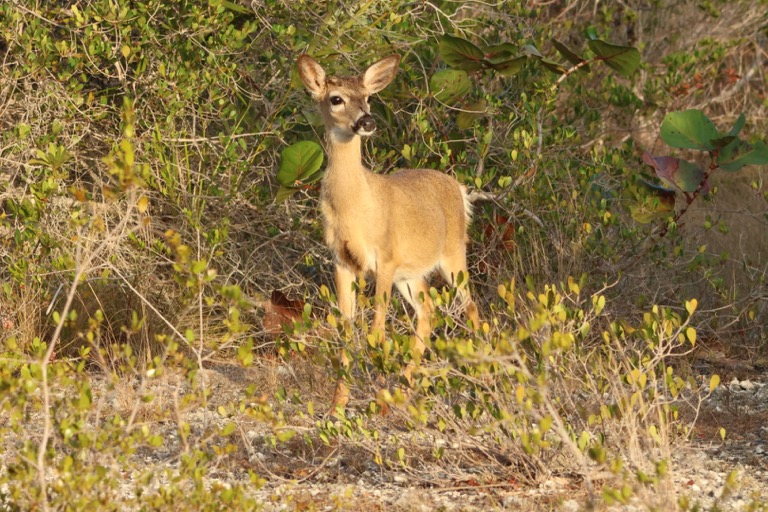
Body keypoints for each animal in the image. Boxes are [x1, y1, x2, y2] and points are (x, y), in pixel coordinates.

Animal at [296, 53, 480, 411]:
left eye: (368, 97)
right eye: (336, 99)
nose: (367, 121)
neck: (355, 207)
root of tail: (459, 188)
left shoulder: (385, 256)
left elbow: (376, 329)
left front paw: (374, 397)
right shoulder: (342, 261)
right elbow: (347, 330)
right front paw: (338, 405)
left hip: (453, 253)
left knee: (471, 306)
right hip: (410, 275)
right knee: (429, 312)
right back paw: (404, 389)